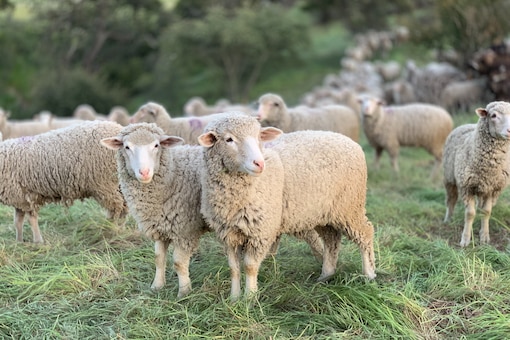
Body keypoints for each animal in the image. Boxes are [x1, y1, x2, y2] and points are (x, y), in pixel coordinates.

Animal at [0, 121, 128, 243]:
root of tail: (119, 128)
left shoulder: (27, 197)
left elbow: (31, 220)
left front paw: (38, 241)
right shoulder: (19, 197)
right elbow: (18, 222)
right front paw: (19, 242)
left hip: (106, 184)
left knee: (117, 208)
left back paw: (111, 230)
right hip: (118, 184)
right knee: (124, 206)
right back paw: (119, 229)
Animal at [198, 112, 374, 300]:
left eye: (259, 137)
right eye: (229, 139)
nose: (259, 163)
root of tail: (349, 141)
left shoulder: (261, 231)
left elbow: (250, 266)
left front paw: (250, 298)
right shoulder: (228, 233)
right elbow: (234, 268)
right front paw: (234, 298)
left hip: (350, 206)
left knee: (365, 234)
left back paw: (369, 275)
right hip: (323, 212)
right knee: (331, 240)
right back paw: (326, 275)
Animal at [440, 101, 510, 247]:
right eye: (493, 115)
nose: (509, 130)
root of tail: (466, 124)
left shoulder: (493, 188)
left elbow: (486, 212)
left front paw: (484, 237)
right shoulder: (466, 187)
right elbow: (470, 214)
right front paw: (465, 239)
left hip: (482, 187)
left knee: (480, 204)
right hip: (449, 178)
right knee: (451, 199)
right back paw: (448, 219)